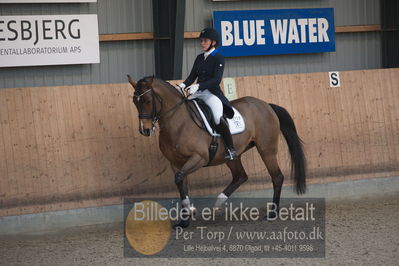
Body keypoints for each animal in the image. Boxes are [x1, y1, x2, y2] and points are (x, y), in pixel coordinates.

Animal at [128, 76, 306, 228]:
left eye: (147, 100)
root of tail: (266, 105)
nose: (145, 130)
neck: (178, 123)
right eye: (134, 102)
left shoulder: (199, 158)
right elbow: (181, 184)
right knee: (240, 176)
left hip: (266, 150)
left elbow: (179, 179)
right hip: (232, 156)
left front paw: (190, 211)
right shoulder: (176, 163)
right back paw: (218, 202)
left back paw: (271, 214)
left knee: (277, 177)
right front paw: (184, 220)